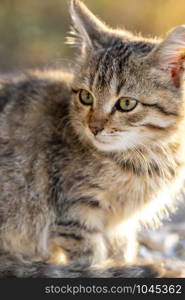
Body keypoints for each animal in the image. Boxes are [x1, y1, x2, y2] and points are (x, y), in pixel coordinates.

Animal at [0, 0, 185, 278]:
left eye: (126, 103)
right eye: (86, 97)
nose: (94, 127)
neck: (145, 156)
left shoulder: (121, 227)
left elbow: (121, 250)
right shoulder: (74, 214)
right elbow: (89, 259)